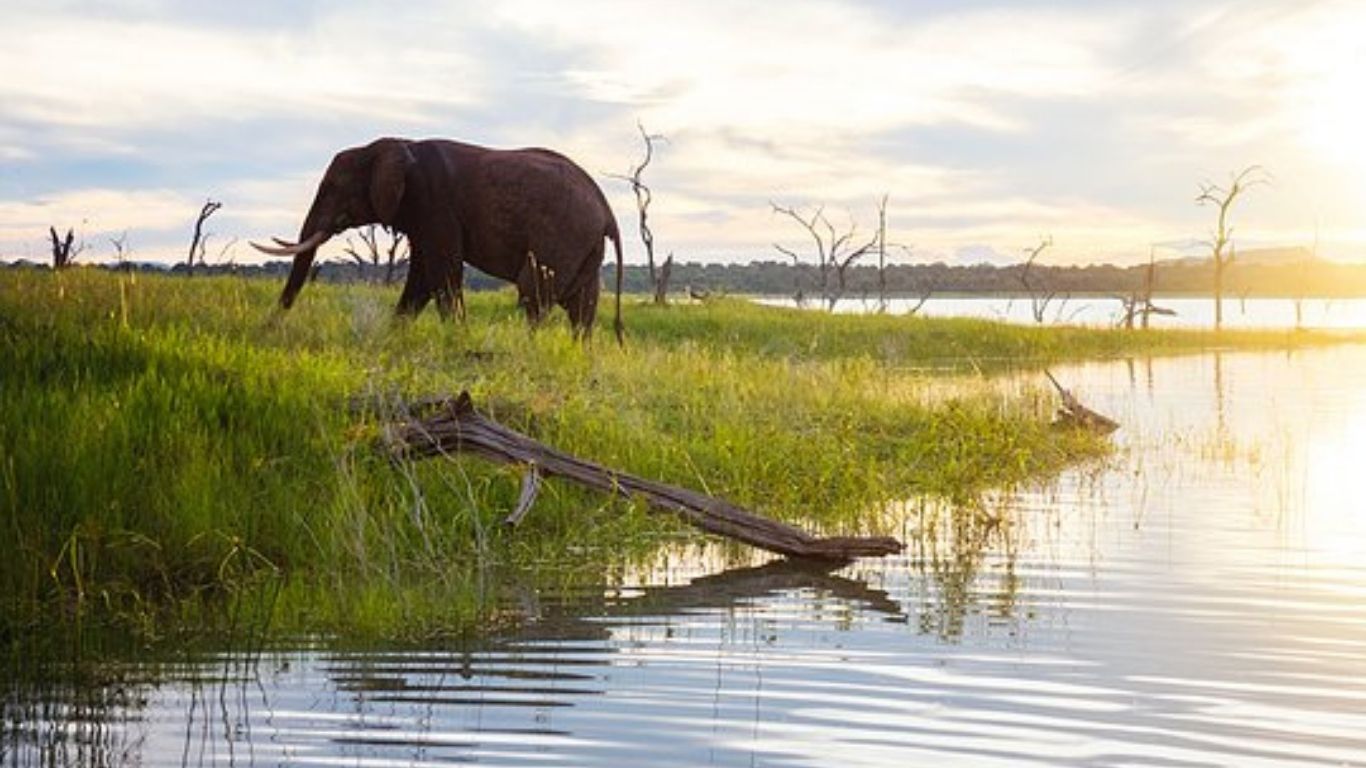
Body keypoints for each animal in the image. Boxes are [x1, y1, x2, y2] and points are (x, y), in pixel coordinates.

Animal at [251, 137, 625, 340]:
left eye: (332, 188)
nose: (268, 328)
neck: (396, 144)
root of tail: (607, 210)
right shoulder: (420, 213)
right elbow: (421, 277)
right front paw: (395, 334)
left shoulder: (432, 200)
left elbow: (441, 271)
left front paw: (458, 338)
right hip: (584, 245)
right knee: (582, 307)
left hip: (563, 236)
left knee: (534, 295)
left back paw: (529, 346)